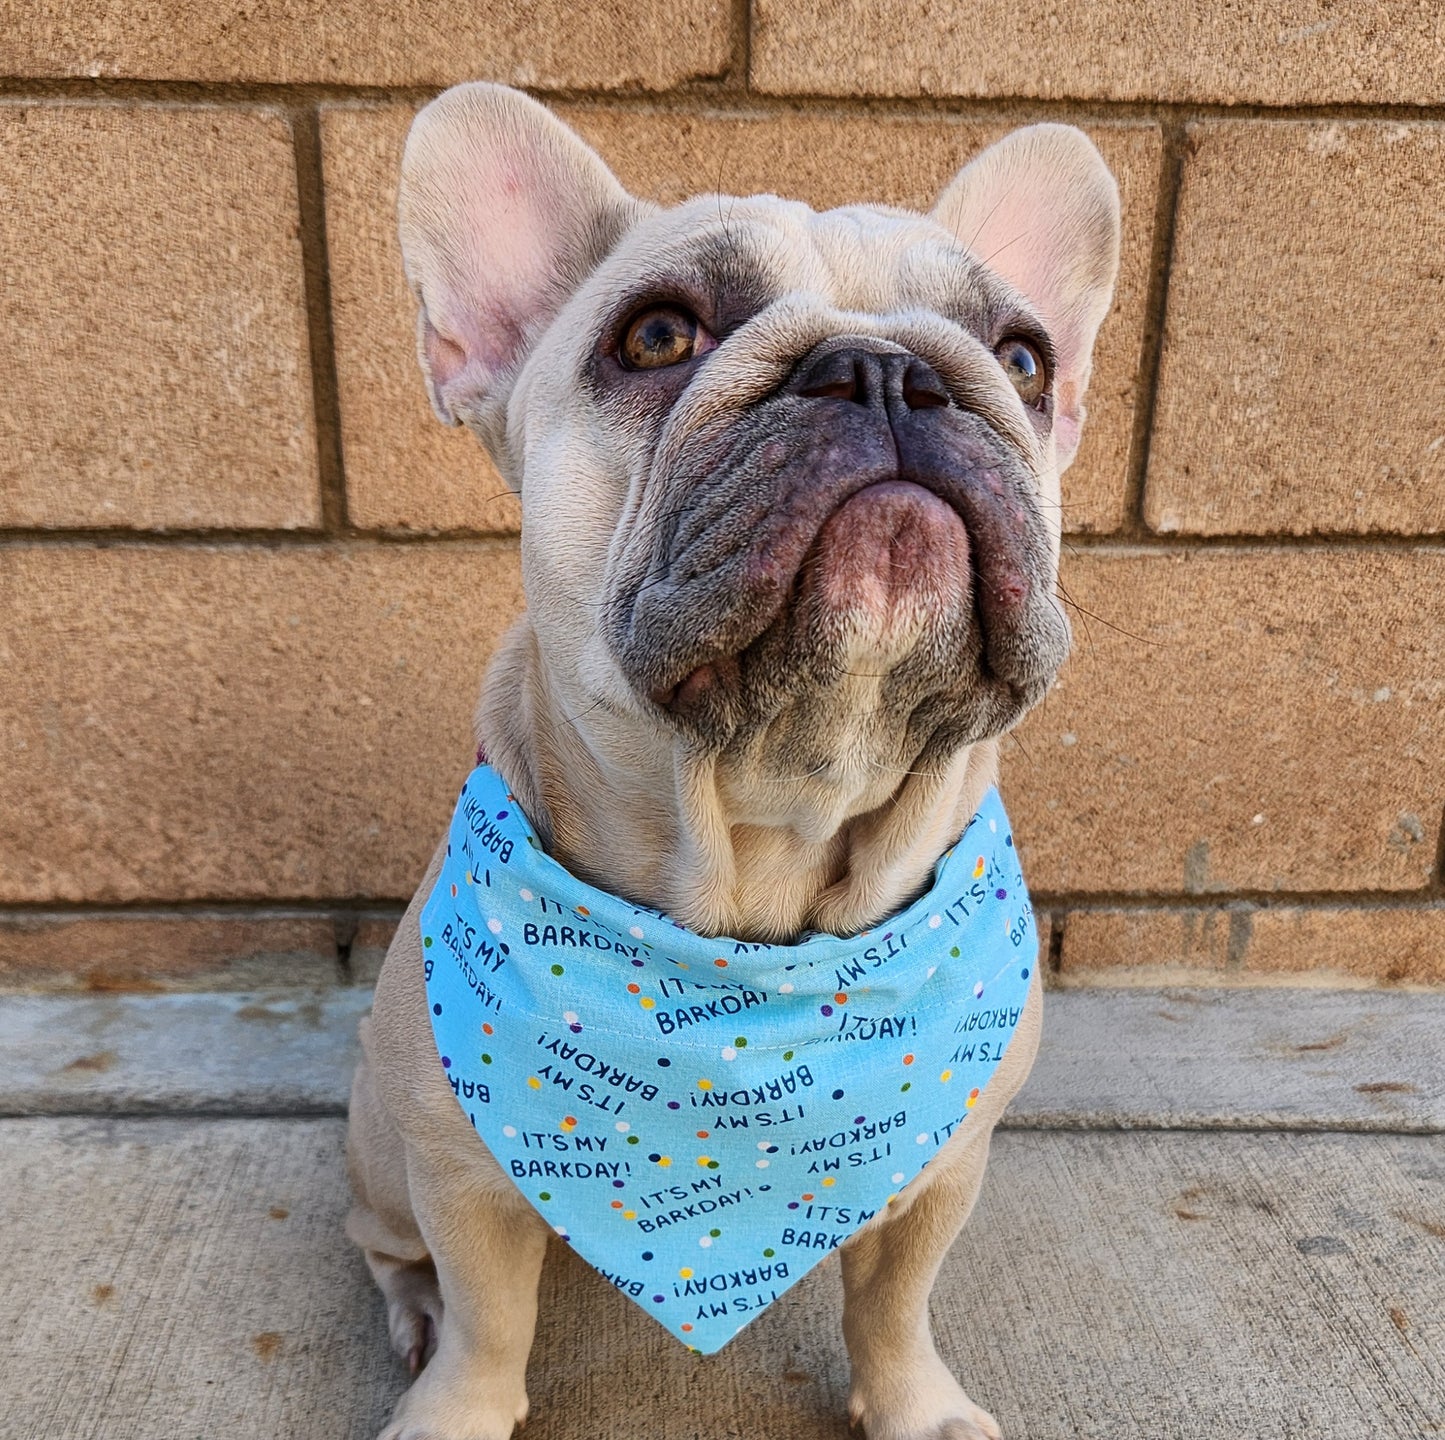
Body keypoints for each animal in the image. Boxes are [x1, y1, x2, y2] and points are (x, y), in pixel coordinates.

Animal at [346, 87, 1115, 1438]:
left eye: (1024, 358)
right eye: (656, 335)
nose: (888, 368)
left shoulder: (946, 1168)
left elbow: (896, 1303)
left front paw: (915, 1406)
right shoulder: (458, 1179)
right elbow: (490, 1322)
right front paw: (454, 1408)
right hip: (382, 1161)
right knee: (388, 1251)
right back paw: (413, 1312)